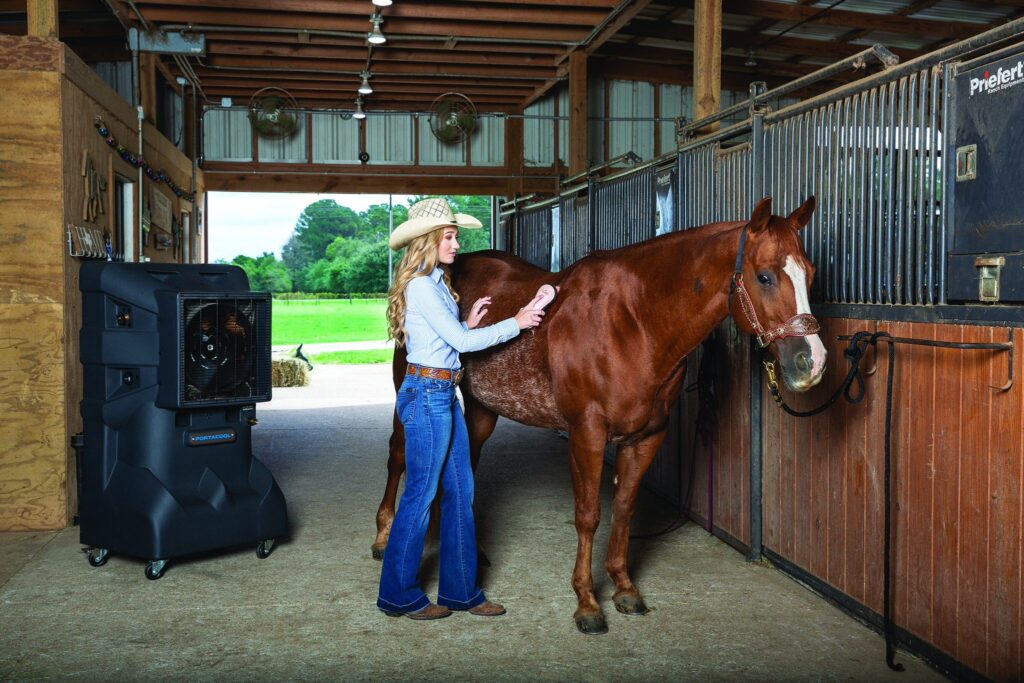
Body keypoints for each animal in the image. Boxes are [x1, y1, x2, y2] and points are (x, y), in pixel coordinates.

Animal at [372, 196, 827, 634]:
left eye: (810, 273)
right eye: (764, 276)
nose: (812, 362)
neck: (635, 322)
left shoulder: (647, 437)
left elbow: (623, 509)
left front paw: (624, 588)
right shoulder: (586, 434)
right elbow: (589, 515)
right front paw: (587, 603)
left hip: (483, 410)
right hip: (405, 390)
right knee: (398, 454)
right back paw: (383, 536)